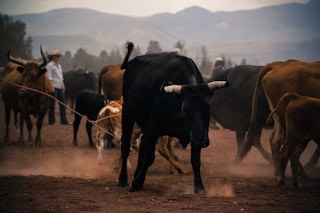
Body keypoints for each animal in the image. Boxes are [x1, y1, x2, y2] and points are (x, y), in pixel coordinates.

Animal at [119, 42, 229, 194]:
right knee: (125, 145)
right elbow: (149, 158)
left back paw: (136, 176)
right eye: (185, 110)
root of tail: (130, 63)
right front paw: (136, 183)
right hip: (127, 111)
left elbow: (195, 160)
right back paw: (123, 179)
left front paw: (199, 187)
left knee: (142, 145)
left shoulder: (196, 132)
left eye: (208, 109)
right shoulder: (154, 128)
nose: (201, 140)